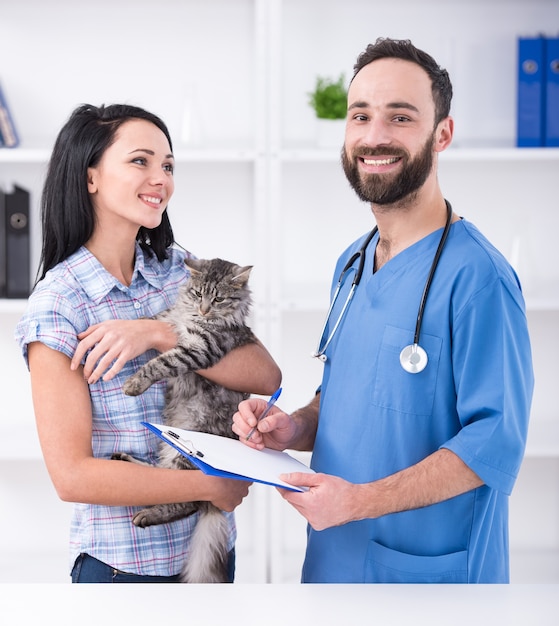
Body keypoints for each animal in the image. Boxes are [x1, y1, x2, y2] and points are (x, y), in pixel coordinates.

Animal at [116, 256, 256, 584]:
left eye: (218, 299)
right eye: (198, 294)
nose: (204, 310)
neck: (192, 318)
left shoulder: (199, 349)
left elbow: (159, 363)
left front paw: (133, 383)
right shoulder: (168, 317)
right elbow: (148, 320)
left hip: (188, 450)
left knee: (184, 498)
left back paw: (146, 516)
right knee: (160, 480)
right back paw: (124, 460)